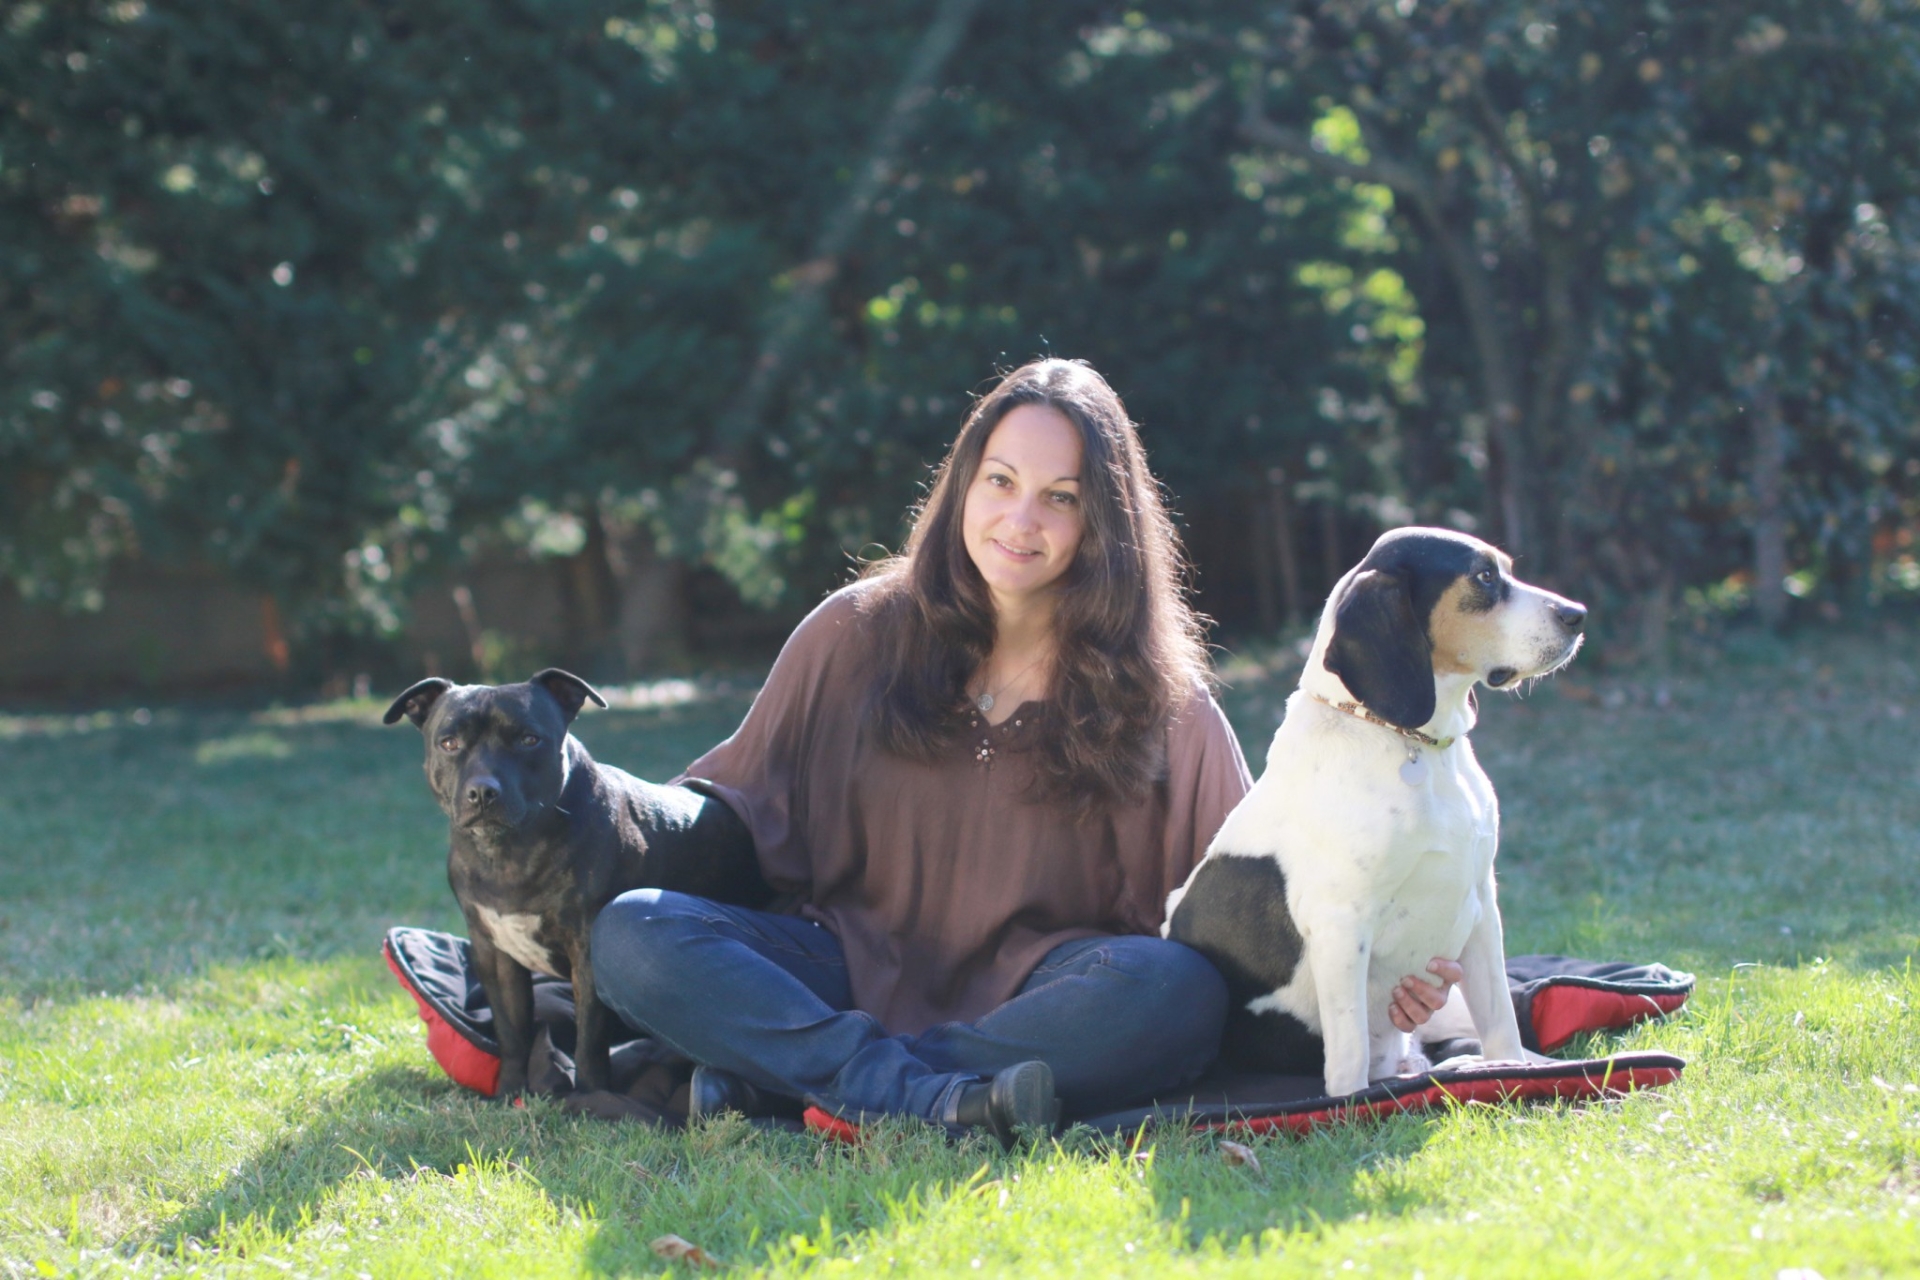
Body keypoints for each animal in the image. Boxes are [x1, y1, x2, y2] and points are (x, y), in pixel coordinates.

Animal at [385, 667, 768, 1097]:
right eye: (449, 743)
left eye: (529, 739)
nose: (482, 790)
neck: (510, 853)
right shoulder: (494, 953)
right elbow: (511, 1031)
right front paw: (510, 1092)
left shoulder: (586, 952)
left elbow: (589, 1036)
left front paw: (590, 1097)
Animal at [1167, 525, 1589, 1097]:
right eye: (1483, 576)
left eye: (1504, 568)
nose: (1577, 614)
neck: (1415, 746)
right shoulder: (1340, 925)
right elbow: (1348, 1060)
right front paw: (1349, 1106)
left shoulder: (1481, 905)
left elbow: (1502, 1025)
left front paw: (1515, 1076)